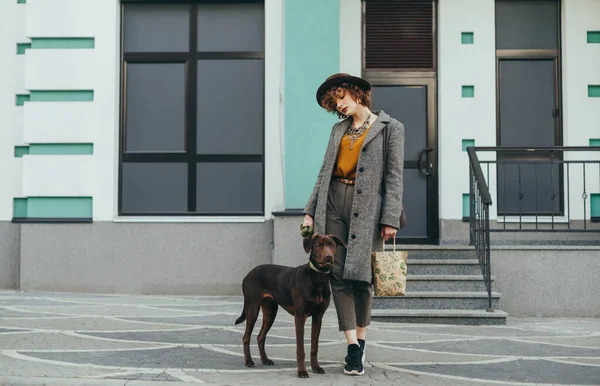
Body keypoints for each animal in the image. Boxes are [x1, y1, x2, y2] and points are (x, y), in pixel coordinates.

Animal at [236, 232, 346, 376]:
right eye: (318, 246)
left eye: (332, 245)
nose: (328, 257)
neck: (318, 278)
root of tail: (248, 274)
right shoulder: (300, 317)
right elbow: (300, 349)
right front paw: (302, 371)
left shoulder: (318, 317)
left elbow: (314, 347)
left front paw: (316, 367)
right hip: (253, 308)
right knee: (246, 337)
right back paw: (249, 361)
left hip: (270, 312)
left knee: (261, 336)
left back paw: (265, 360)